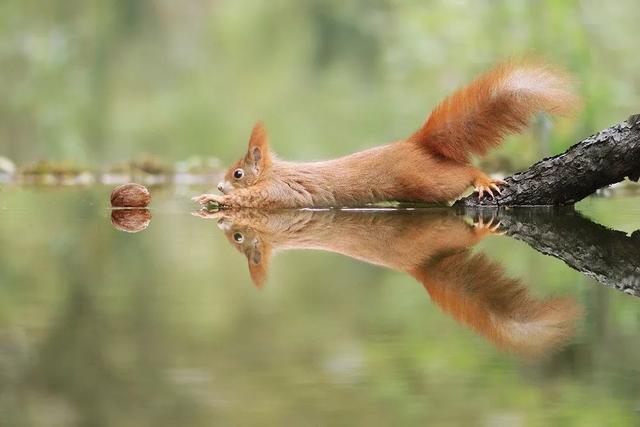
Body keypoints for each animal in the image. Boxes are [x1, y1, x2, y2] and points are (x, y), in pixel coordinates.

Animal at [192, 61, 576, 209]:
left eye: (237, 173)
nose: (220, 186)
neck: (273, 172)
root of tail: (414, 144)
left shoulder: (279, 192)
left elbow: (255, 201)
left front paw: (212, 199)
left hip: (427, 180)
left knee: (463, 174)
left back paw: (482, 179)